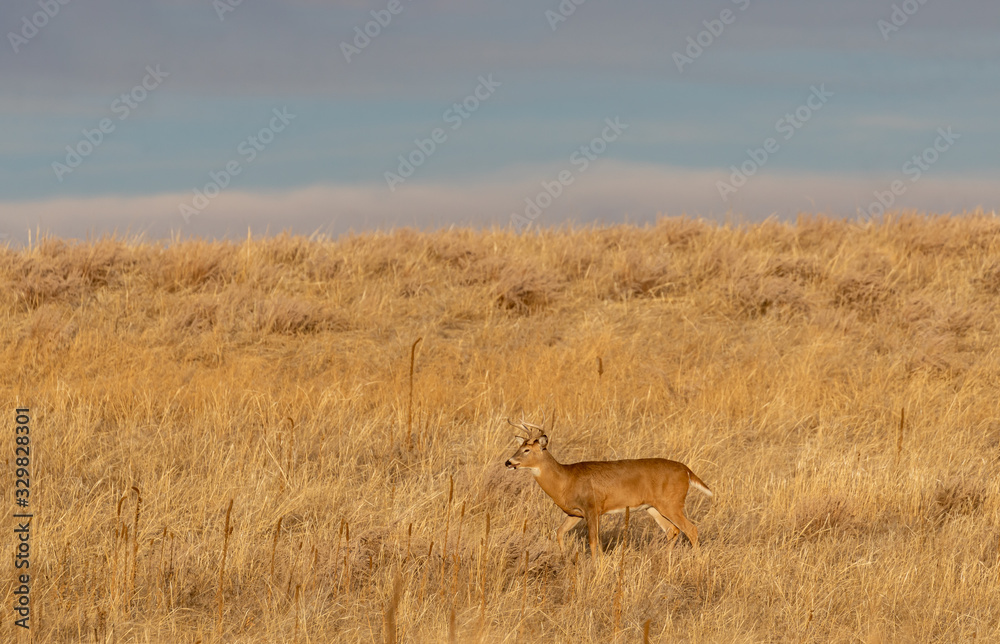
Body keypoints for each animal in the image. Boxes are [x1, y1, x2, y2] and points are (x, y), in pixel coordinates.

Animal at [508, 420, 712, 556]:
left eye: (527, 450)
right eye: (519, 447)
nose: (508, 462)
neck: (566, 480)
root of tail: (687, 471)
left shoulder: (592, 508)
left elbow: (593, 542)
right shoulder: (575, 513)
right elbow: (559, 532)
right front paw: (565, 558)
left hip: (672, 503)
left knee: (691, 529)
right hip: (653, 507)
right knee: (673, 531)